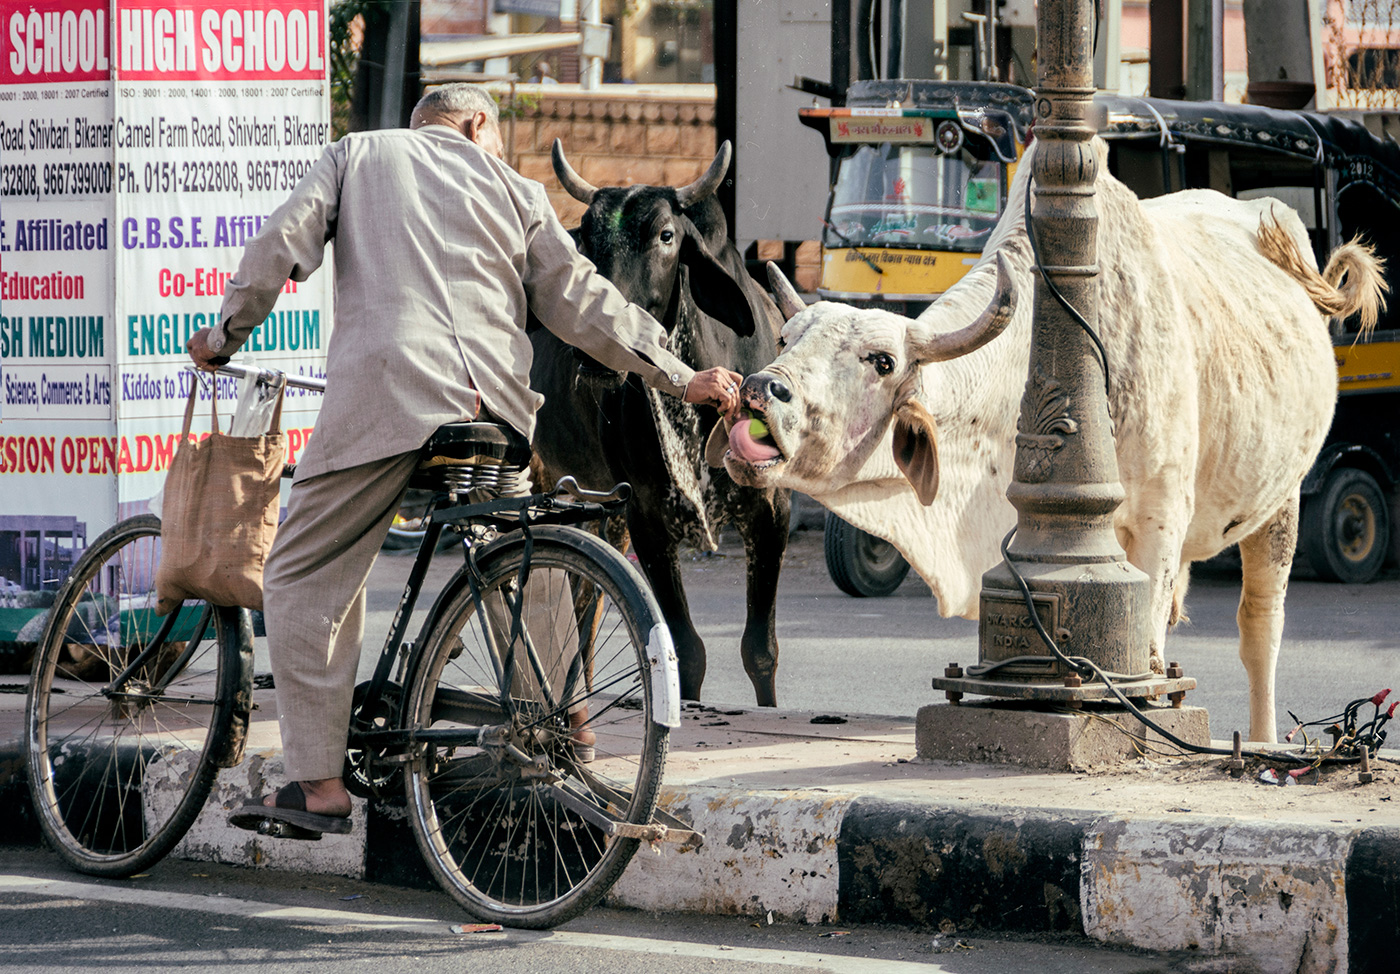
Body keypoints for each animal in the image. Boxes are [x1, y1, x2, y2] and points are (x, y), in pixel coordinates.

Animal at [526, 140, 795, 702]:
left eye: (666, 236)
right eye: (586, 237)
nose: (597, 352)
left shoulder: (771, 510)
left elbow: (760, 650)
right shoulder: (648, 517)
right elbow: (687, 651)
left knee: (585, 603)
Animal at [716, 140, 1383, 744]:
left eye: (882, 362)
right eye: (787, 338)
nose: (759, 389)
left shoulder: (1162, 517)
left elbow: (1150, 647)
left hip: (1282, 501)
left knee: (1259, 628)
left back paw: (1266, 735)